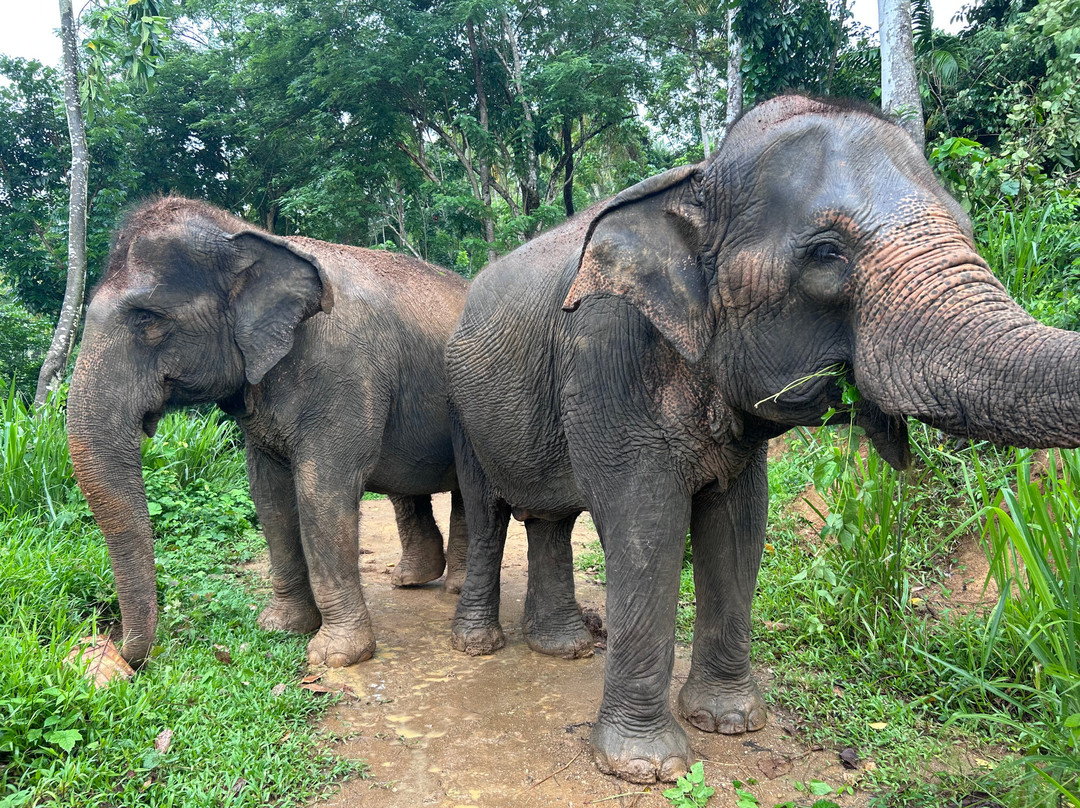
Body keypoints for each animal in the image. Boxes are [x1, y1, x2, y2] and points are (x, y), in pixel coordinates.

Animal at [68, 197, 469, 669]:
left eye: (148, 319)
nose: (118, 653)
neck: (248, 233)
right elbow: (269, 496)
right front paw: (281, 627)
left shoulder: (346, 375)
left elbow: (322, 492)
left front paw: (335, 655)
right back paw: (411, 580)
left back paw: (455, 588)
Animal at [444, 95, 1080, 784]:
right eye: (827, 252)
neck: (701, 175)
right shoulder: (605, 354)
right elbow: (646, 526)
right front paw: (647, 767)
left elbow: (740, 523)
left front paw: (729, 722)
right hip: (461, 409)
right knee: (486, 513)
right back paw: (478, 644)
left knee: (550, 519)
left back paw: (563, 648)